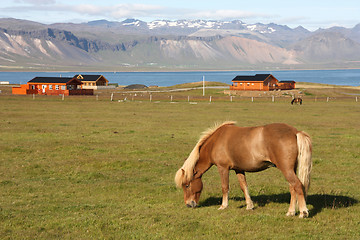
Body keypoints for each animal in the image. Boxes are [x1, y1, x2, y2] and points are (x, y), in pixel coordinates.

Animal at [174, 122, 312, 218]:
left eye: (187, 185)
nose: (189, 204)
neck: (216, 141)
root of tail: (295, 132)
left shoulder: (223, 168)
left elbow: (225, 187)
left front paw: (223, 206)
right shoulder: (239, 169)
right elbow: (243, 186)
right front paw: (249, 206)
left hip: (286, 170)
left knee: (297, 185)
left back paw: (303, 212)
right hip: (290, 169)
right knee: (292, 188)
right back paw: (291, 212)